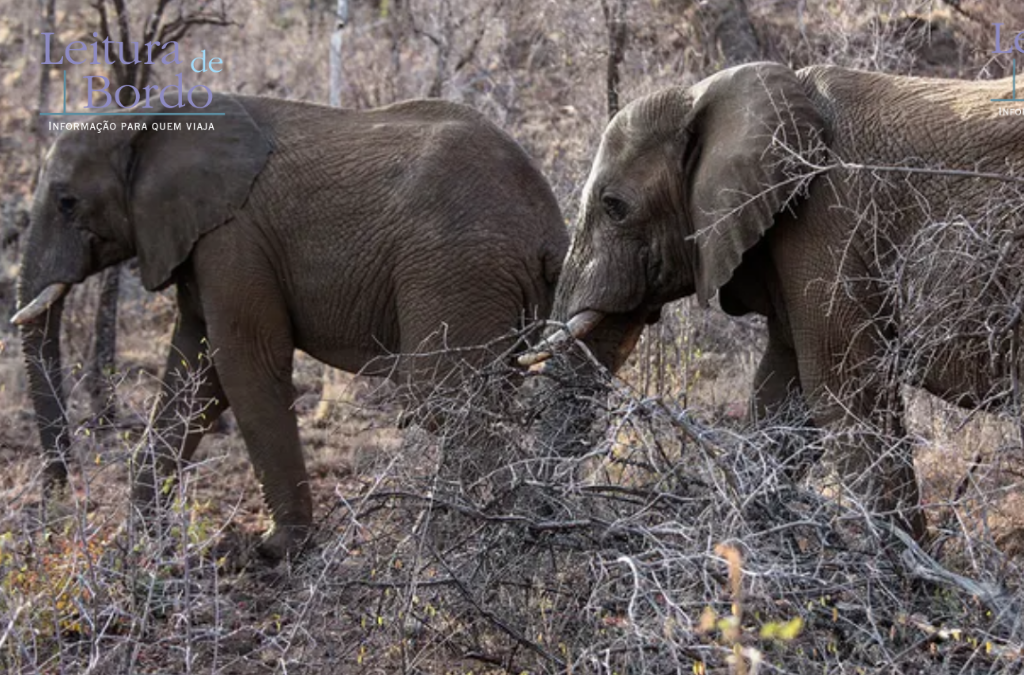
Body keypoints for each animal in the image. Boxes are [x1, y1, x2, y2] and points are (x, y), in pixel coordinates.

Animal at [14, 95, 569, 561]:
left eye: (66, 202)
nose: (58, 515)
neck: (147, 120)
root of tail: (551, 228)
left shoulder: (233, 237)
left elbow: (245, 365)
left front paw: (275, 551)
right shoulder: (197, 241)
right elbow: (193, 372)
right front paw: (141, 546)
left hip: (457, 268)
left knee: (443, 404)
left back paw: (455, 543)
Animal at [532, 63, 1024, 536]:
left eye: (614, 207)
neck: (707, 93)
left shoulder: (824, 226)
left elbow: (844, 395)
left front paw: (907, 567)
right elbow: (780, 401)